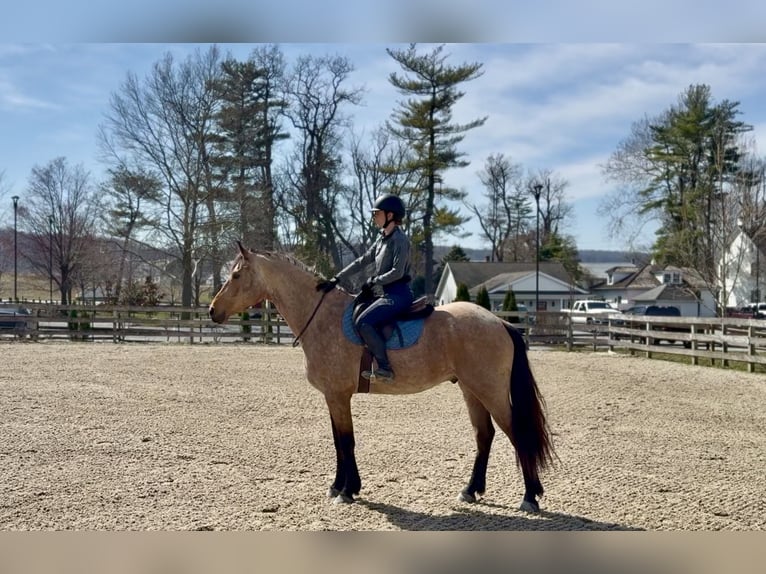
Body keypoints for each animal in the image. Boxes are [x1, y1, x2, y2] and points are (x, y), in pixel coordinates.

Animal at [209, 244, 555, 512]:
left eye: (236, 276)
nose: (212, 310)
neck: (322, 317)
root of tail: (499, 322)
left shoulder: (338, 395)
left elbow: (346, 441)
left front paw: (347, 490)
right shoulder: (333, 397)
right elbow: (338, 442)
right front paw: (339, 486)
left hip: (491, 391)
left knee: (517, 434)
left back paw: (530, 497)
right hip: (472, 390)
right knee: (484, 435)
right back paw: (470, 490)